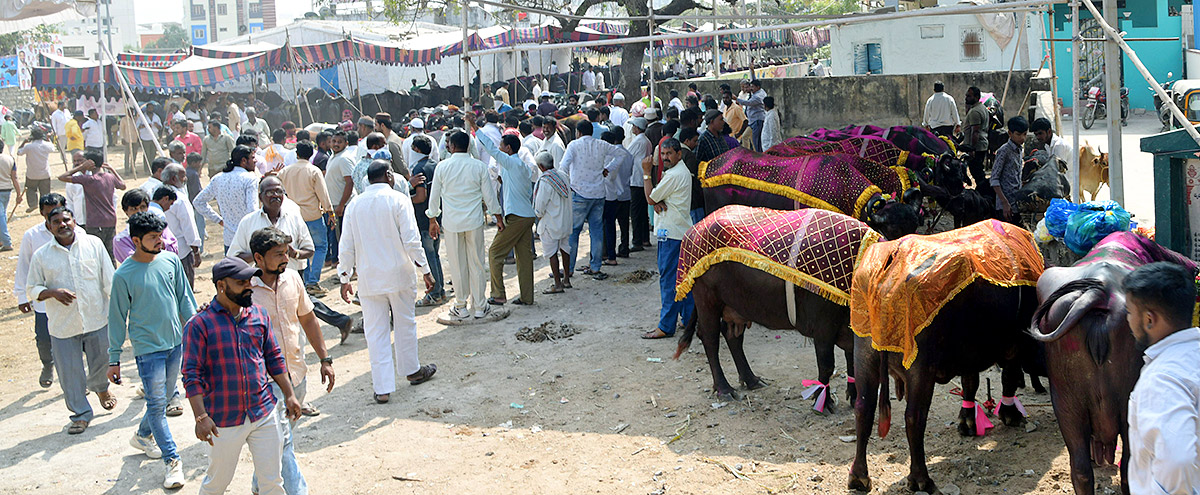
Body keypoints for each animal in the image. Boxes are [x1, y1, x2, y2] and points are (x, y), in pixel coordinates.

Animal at [672, 206, 878, 408]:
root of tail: (694, 230)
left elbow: (853, 360)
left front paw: (854, 397)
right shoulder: (823, 326)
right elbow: (826, 364)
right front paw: (823, 402)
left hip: (737, 306)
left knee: (733, 336)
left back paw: (752, 379)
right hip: (706, 300)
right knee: (710, 339)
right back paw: (724, 389)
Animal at [849, 219, 1046, 490]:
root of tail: (892, 261)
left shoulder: (969, 353)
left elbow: (970, 384)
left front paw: (967, 422)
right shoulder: (1014, 346)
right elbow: (1008, 379)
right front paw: (1010, 415)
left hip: (864, 354)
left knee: (863, 409)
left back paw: (858, 477)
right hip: (919, 368)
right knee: (914, 417)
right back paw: (921, 479)